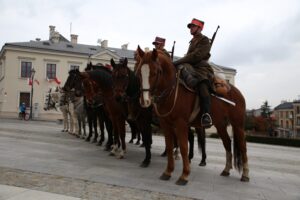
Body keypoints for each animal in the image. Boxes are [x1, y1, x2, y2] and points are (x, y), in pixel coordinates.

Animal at [136, 46, 248, 185]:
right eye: (139, 73)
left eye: (156, 72)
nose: (144, 101)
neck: (172, 90)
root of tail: (236, 91)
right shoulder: (166, 124)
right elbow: (169, 146)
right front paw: (168, 172)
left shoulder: (181, 124)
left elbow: (183, 147)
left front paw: (184, 175)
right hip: (220, 125)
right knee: (227, 143)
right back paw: (226, 170)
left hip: (237, 125)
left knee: (243, 146)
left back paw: (245, 174)